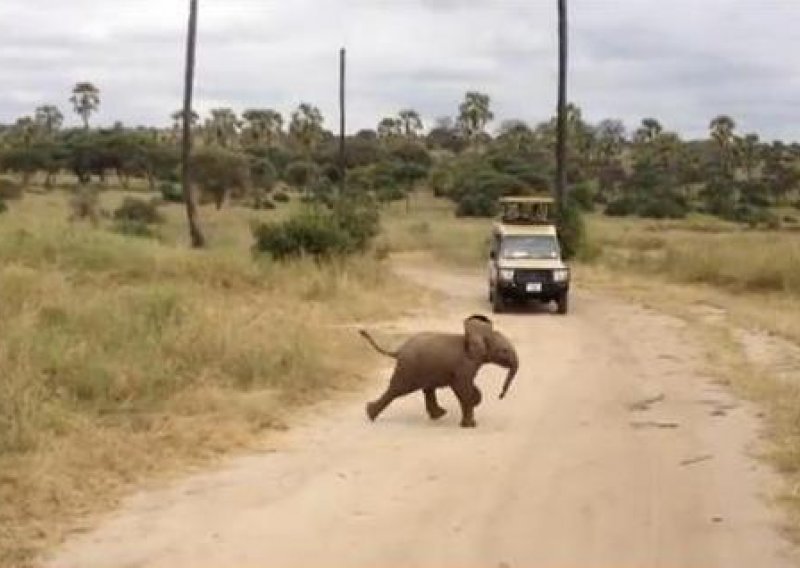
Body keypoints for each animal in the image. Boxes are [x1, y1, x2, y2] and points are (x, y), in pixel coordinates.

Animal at [358, 316, 520, 426]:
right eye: (504, 351)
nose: (500, 396)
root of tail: (398, 350)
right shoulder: (464, 365)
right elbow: (462, 388)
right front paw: (470, 424)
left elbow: (468, 387)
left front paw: (475, 403)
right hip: (409, 368)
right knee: (397, 389)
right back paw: (370, 414)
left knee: (427, 389)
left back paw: (439, 415)